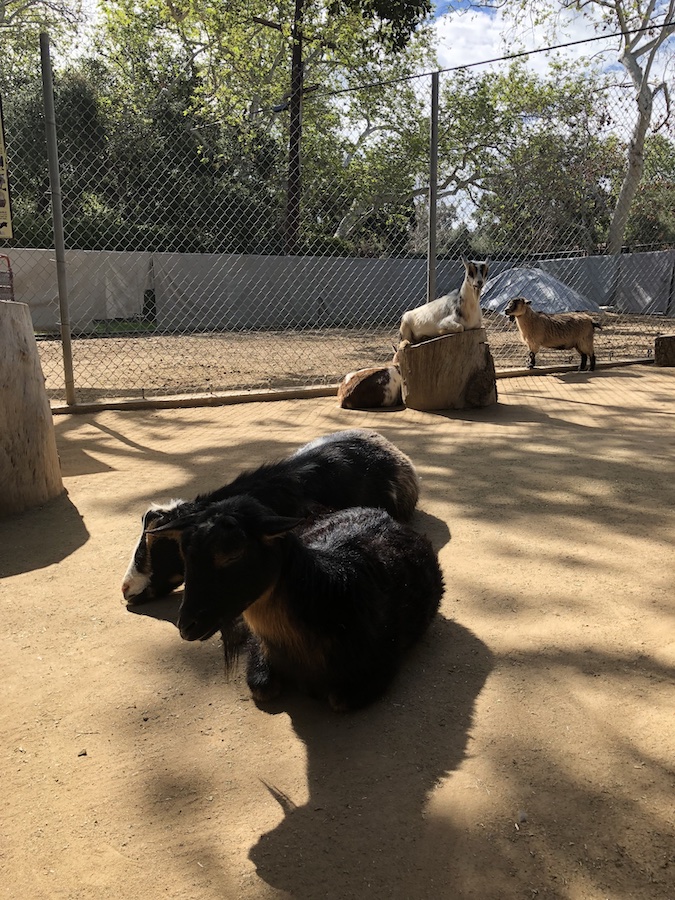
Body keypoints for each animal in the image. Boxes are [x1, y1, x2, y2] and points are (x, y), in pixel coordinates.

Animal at [149, 496, 444, 711]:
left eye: (233, 553)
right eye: (183, 554)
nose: (187, 626)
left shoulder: (380, 663)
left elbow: (339, 700)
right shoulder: (259, 649)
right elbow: (261, 685)